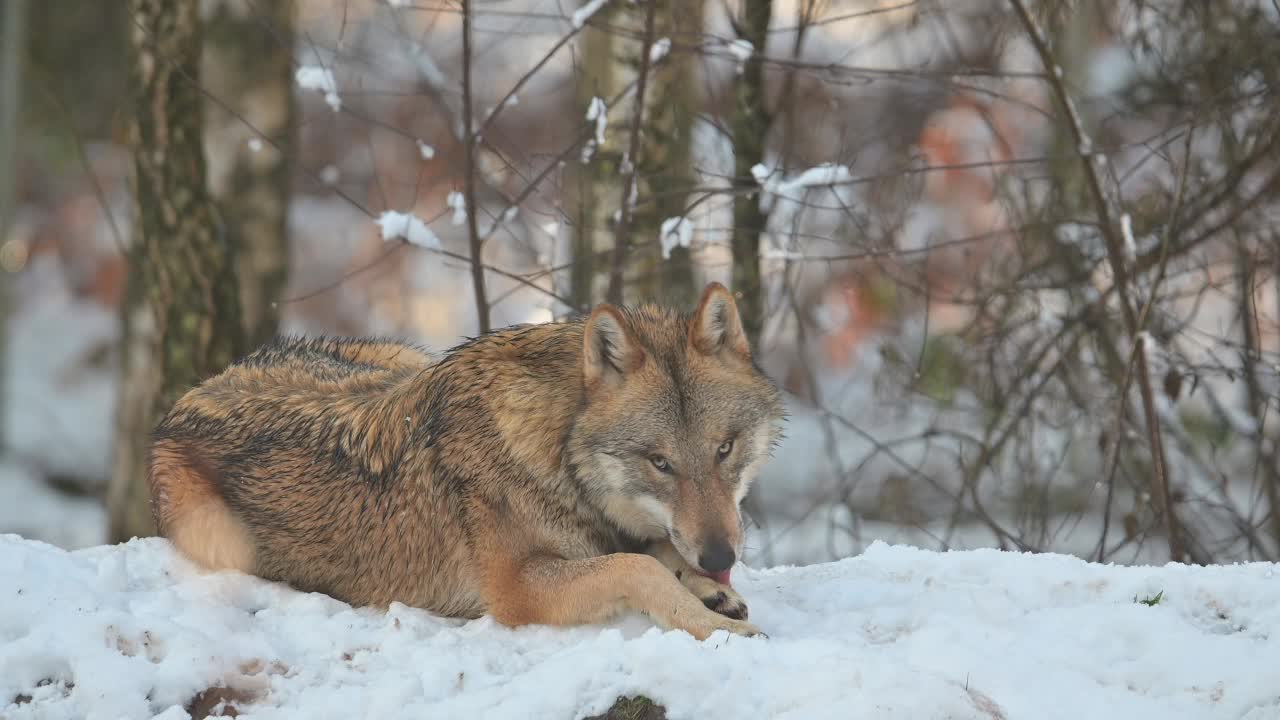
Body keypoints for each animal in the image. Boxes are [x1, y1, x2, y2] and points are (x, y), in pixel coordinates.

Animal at [149, 283, 788, 635]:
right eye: (659, 463)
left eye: (724, 449)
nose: (720, 555)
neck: (553, 448)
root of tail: (181, 402)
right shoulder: (516, 590)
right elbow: (636, 567)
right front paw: (713, 624)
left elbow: (648, 552)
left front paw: (707, 589)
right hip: (221, 537)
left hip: (405, 357)